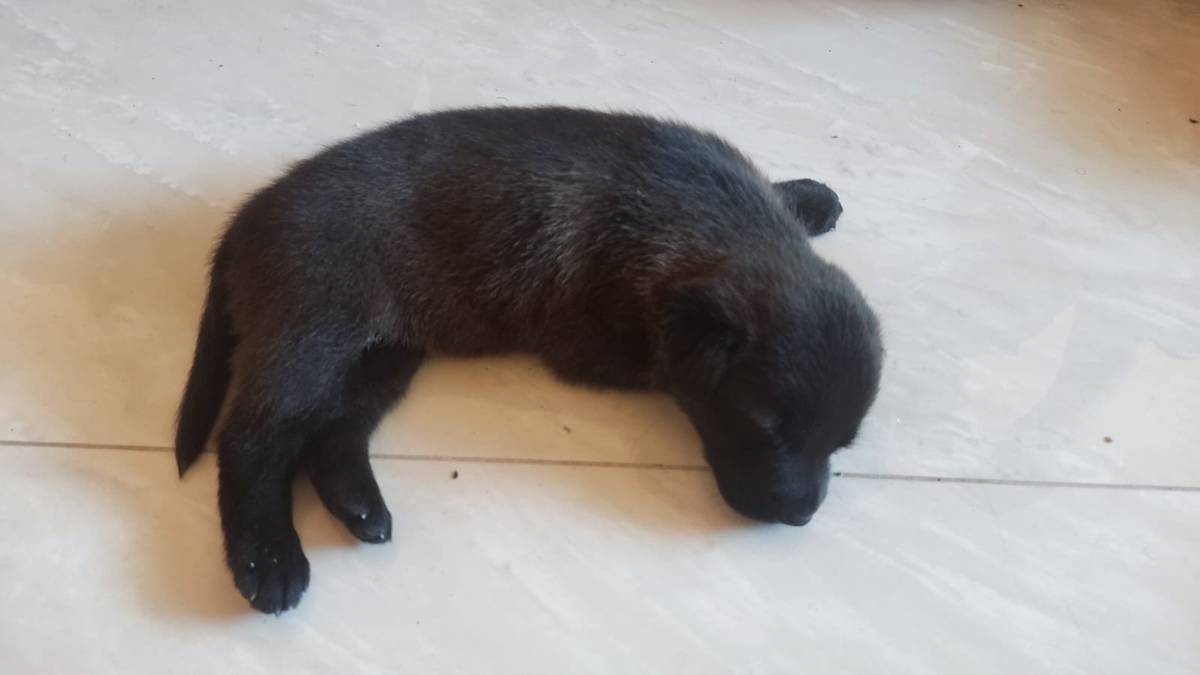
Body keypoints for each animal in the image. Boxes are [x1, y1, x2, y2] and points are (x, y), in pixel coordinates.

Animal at [175, 106, 883, 614]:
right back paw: (268, 559)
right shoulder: (601, 342)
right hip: (313, 335)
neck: (708, 222)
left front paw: (805, 195)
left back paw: (358, 505)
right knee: (256, 437)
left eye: (841, 445)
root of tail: (244, 221)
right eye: (765, 427)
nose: (801, 514)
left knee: (333, 431)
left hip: (385, 353)